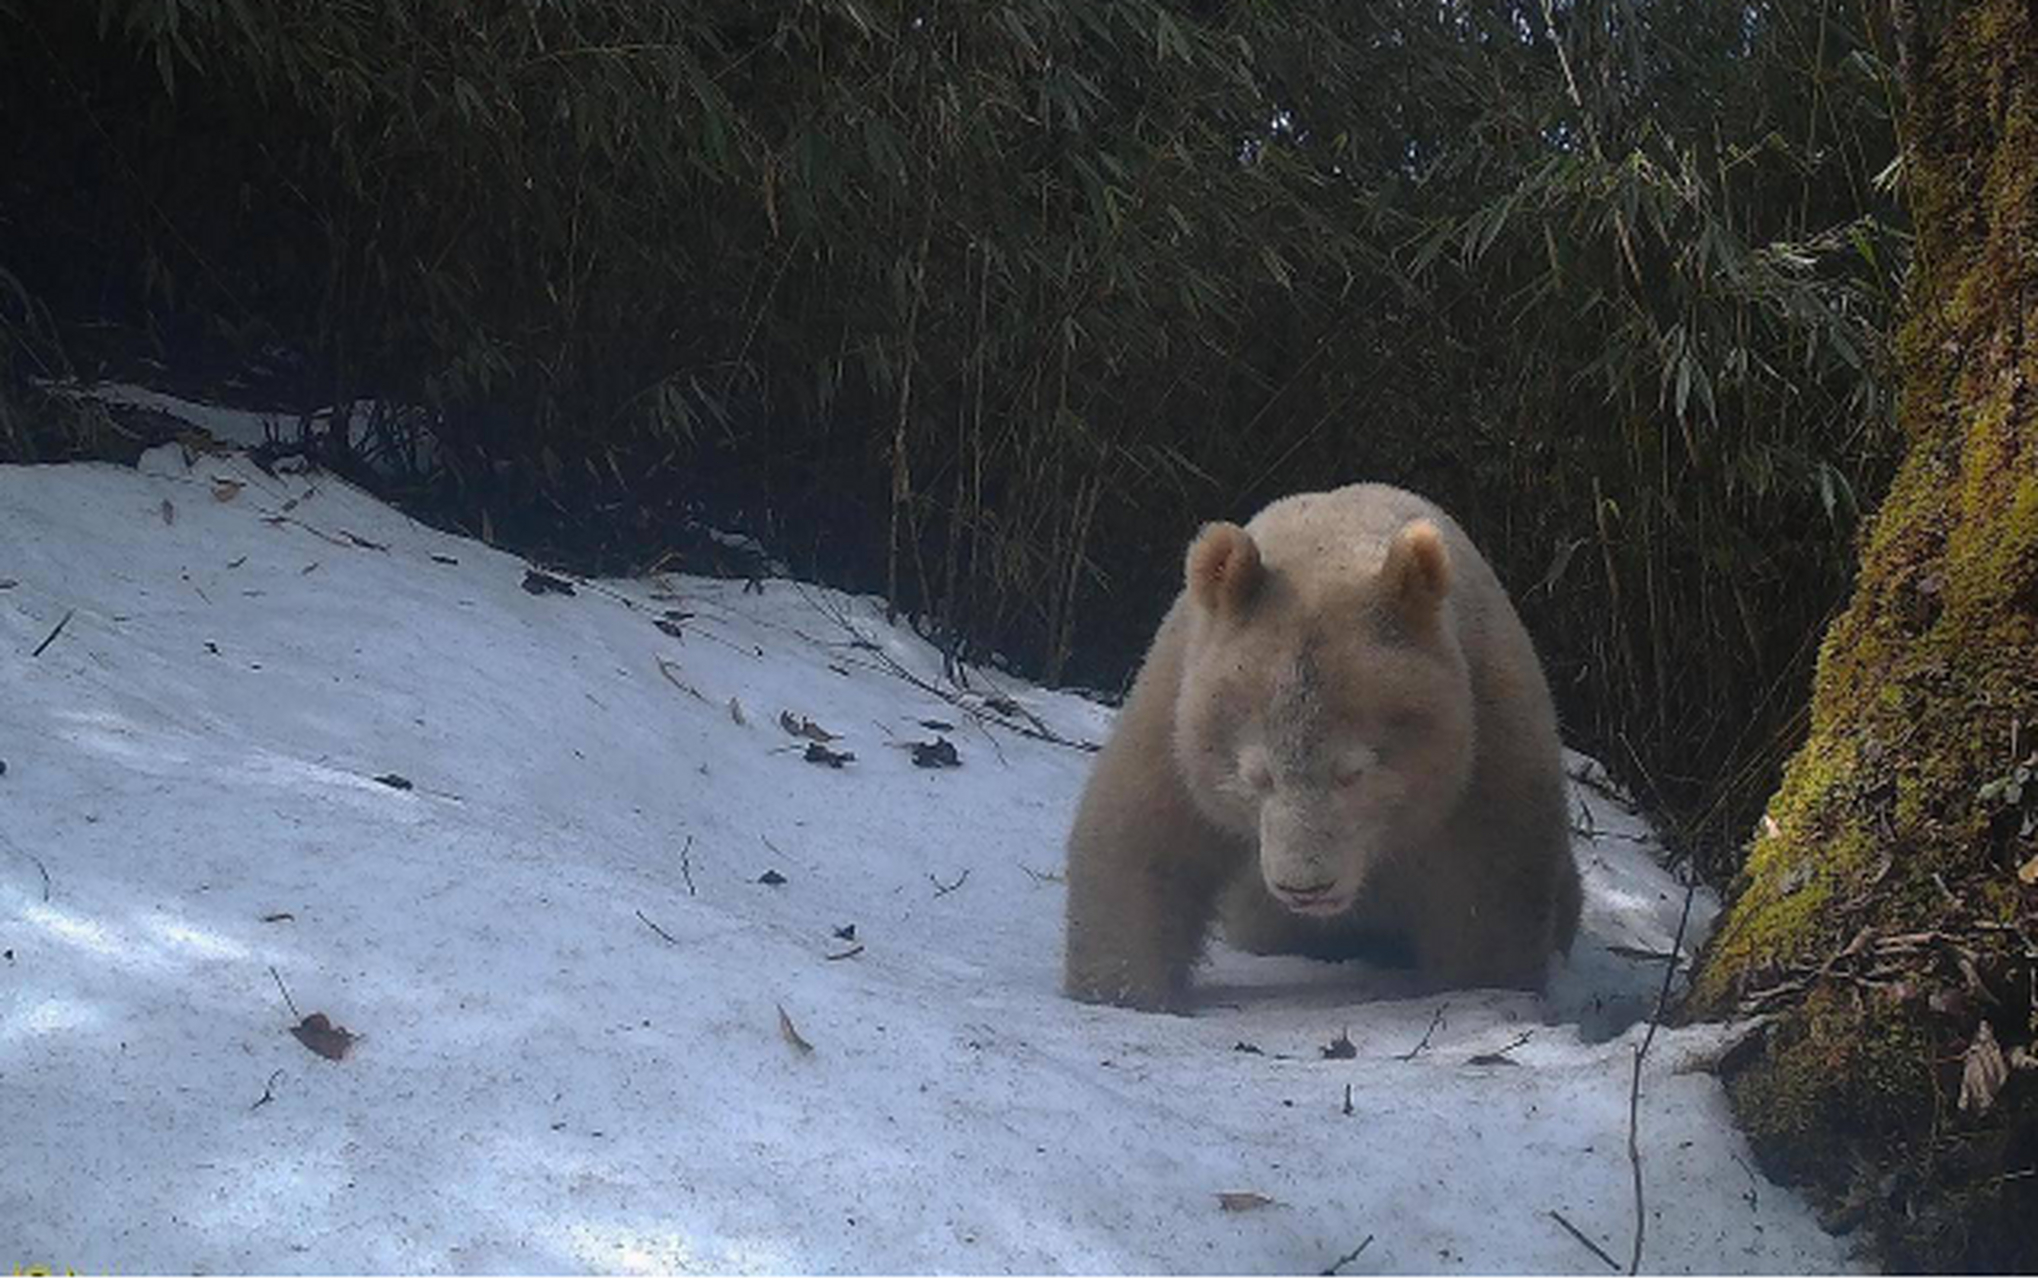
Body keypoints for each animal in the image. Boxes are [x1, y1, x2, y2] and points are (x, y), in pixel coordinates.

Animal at [1062, 482, 1580, 1012]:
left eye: (1352, 773)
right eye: (1258, 776)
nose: (1306, 888)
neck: (1331, 544)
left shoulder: (1485, 734)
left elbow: (1489, 886)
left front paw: (1481, 992)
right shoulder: (1177, 705)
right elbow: (1139, 840)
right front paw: (1121, 992)